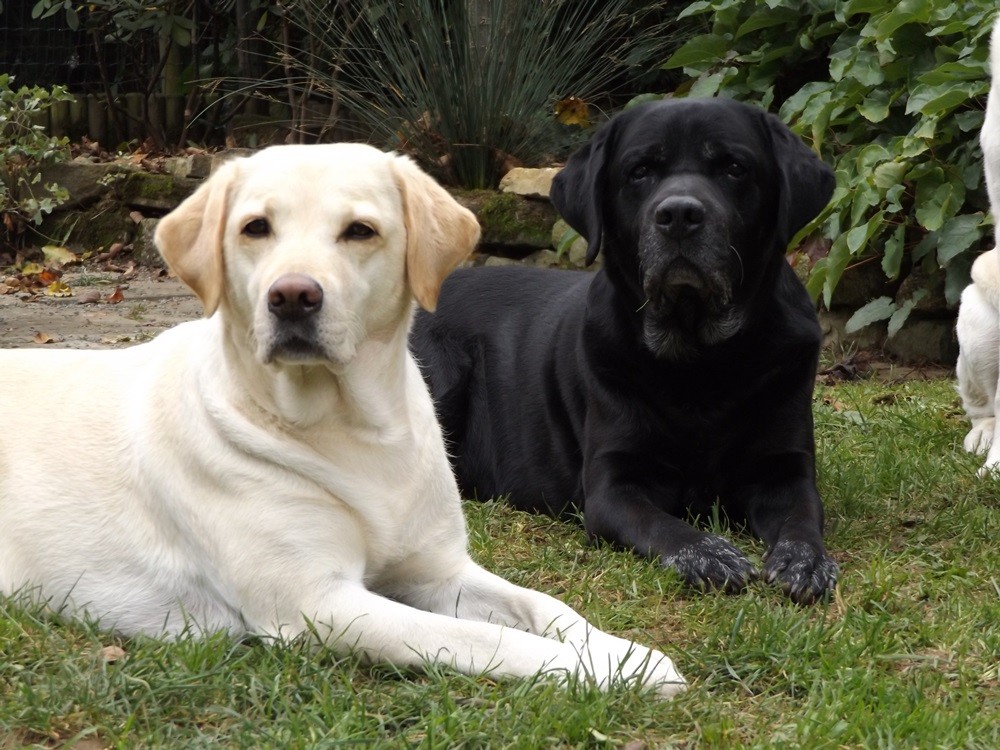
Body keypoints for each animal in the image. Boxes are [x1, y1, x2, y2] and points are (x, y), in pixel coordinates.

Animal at [0, 145, 684, 700]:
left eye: (360, 231)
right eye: (255, 227)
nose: (292, 296)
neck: (356, 432)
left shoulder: (441, 571)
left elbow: (547, 606)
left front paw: (629, 657)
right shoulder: (319, 604)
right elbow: (488, 640)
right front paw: (592, 671)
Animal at [410, 98, 840, 604]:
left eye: (734, 168)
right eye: (640, 172)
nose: (679, 215)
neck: (701, 362)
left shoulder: (785, 469)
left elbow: (802, 519)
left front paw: (805, 561)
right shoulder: (613, 484)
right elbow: (665, 526)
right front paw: (709, 554)